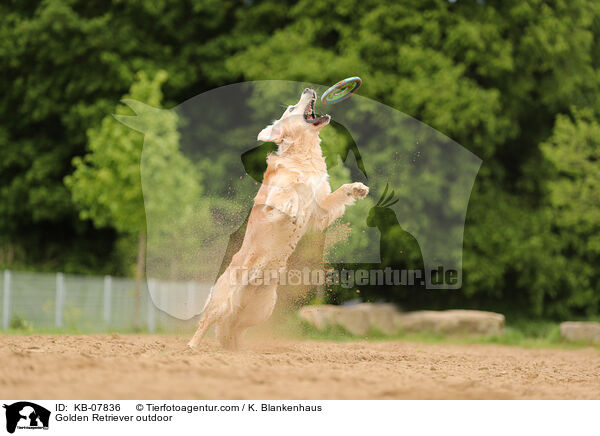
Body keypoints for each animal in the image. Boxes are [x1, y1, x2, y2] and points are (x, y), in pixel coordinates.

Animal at [188, 87, 368, 350]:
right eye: (292, 108)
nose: (308, 89)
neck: (303, 155)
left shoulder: (320, 210)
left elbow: (337, 194)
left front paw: (357, 188)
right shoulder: (273, 195)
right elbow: (287, 196)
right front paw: (293, 210)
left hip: (260, 310)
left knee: (235, 328)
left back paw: (236, 348)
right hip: (222, 301)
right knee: (206, 322)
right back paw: (192, 346)